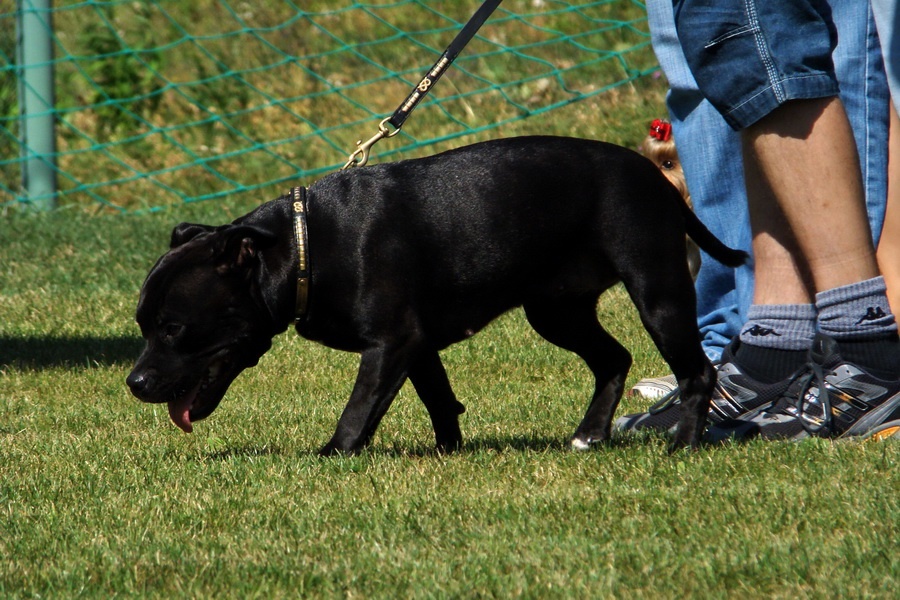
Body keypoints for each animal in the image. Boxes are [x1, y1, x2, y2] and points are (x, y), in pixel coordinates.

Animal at [126, 136, 744, 454]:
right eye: (141, 326)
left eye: (174, 328)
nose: (133, 383)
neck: (303, 249)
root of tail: (656, 175)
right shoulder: (415, 344)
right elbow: (439, 398)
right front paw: (450, 451)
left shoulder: (391, 342)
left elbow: (360, 407)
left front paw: (333, 454)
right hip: (555, 311)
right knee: (612, 358)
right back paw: (589, 435)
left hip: (657, 294)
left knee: (697, 371)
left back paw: (685, 443)